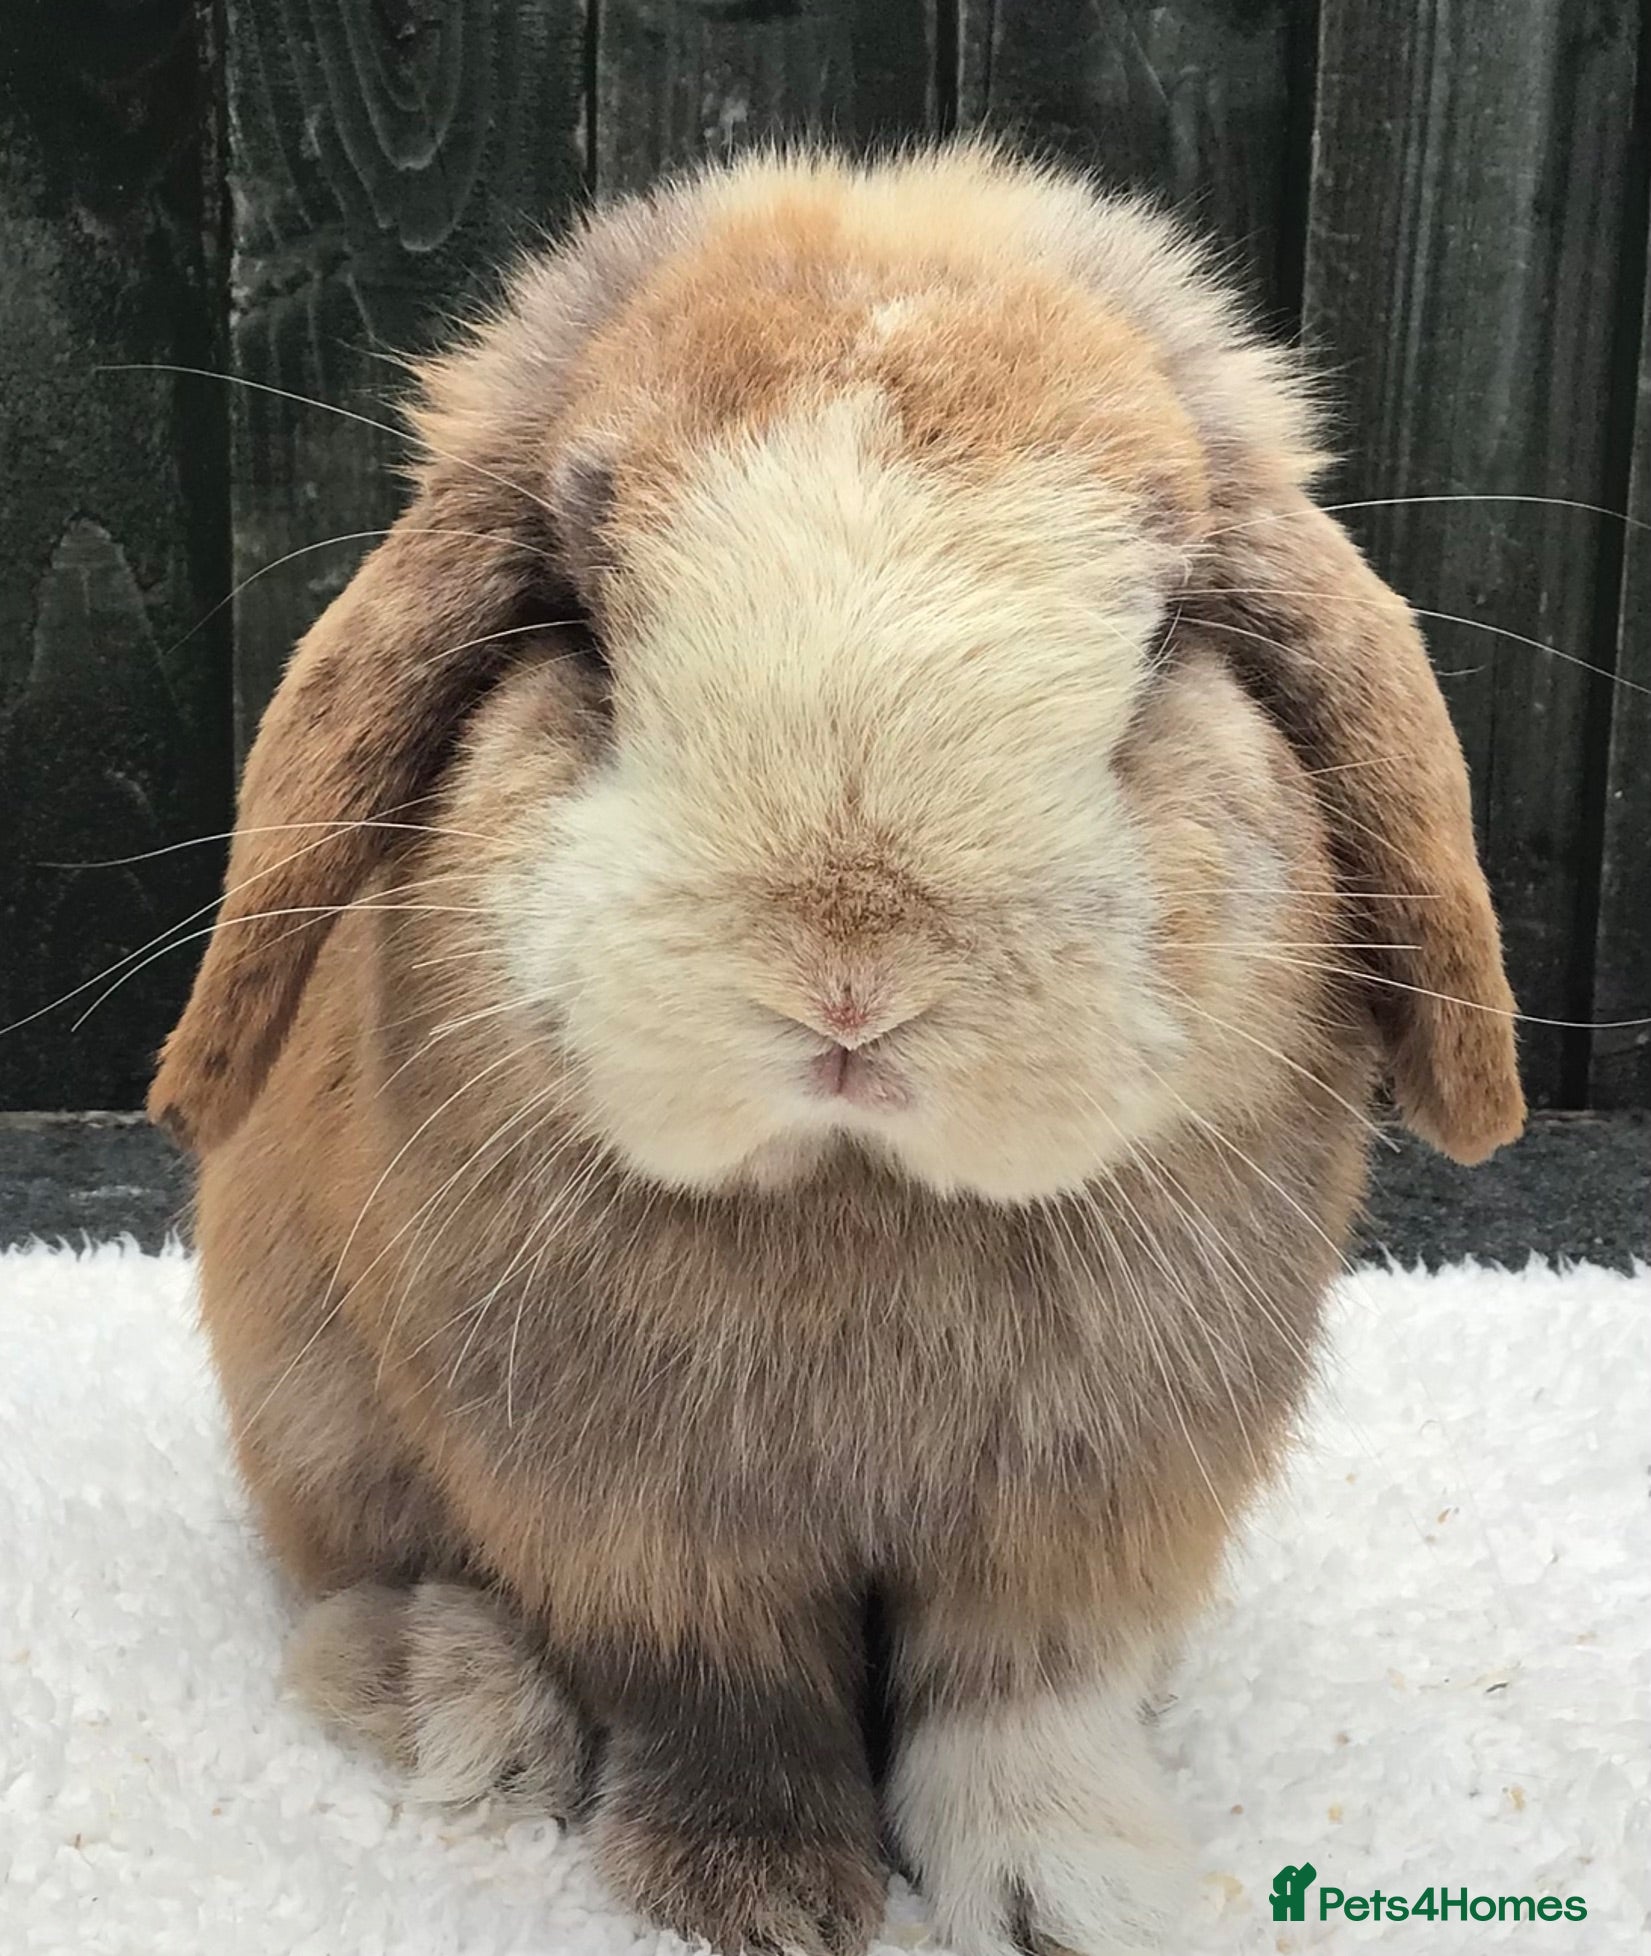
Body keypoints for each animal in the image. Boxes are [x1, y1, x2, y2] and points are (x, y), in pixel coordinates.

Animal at [150, 143, 1524, 1956]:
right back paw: (463, 1706)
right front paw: (758, 1896)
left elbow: (1027, 1712)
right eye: (577, 628)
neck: (860, 1204)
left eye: (1163, 637)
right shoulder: (638, 1529)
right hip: (310, 1411)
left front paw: (1075, 1899)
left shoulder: (1084, 1524)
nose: (851, 980)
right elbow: (726, 1703)